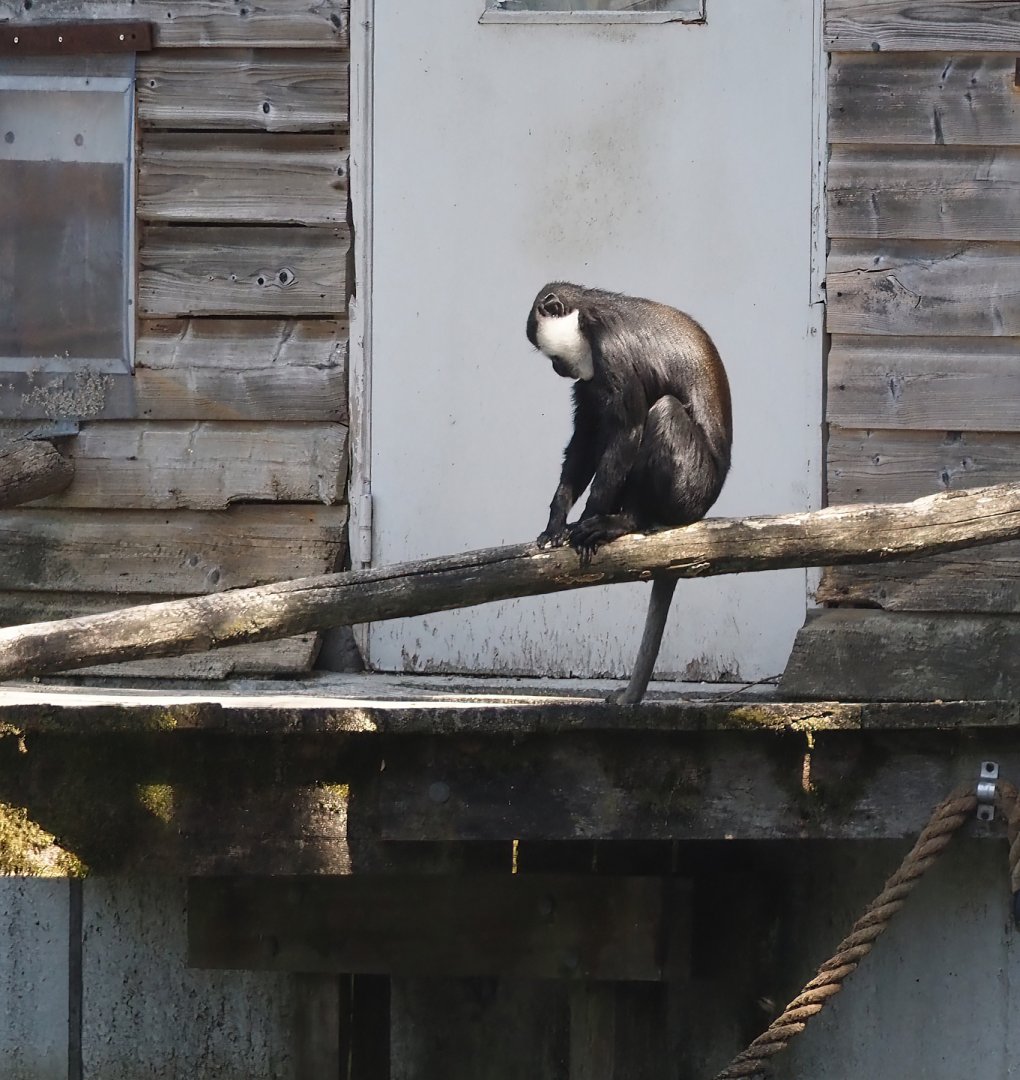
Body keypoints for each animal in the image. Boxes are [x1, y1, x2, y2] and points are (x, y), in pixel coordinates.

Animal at [526, 282, 732, 705]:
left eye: (551, 355)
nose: (556, 368)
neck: (588, 319)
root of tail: (704, 508)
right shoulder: (591, 376)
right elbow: (587, 436)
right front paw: (556, 521)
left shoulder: (612, 353)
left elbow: (627, 430)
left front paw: (588, 522)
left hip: (689, 487)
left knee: (663, 412)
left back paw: (625, 520)